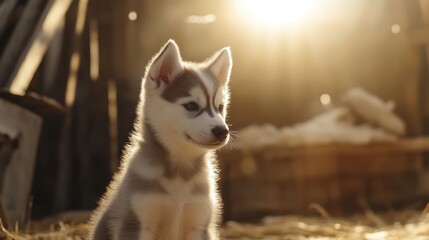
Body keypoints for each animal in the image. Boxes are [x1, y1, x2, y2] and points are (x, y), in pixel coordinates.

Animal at [87, 39, 232, 240]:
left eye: (220, 107)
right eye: (191, 105)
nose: (222, 131)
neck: (179, 173)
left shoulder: (198, 224)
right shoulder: (137, 222)